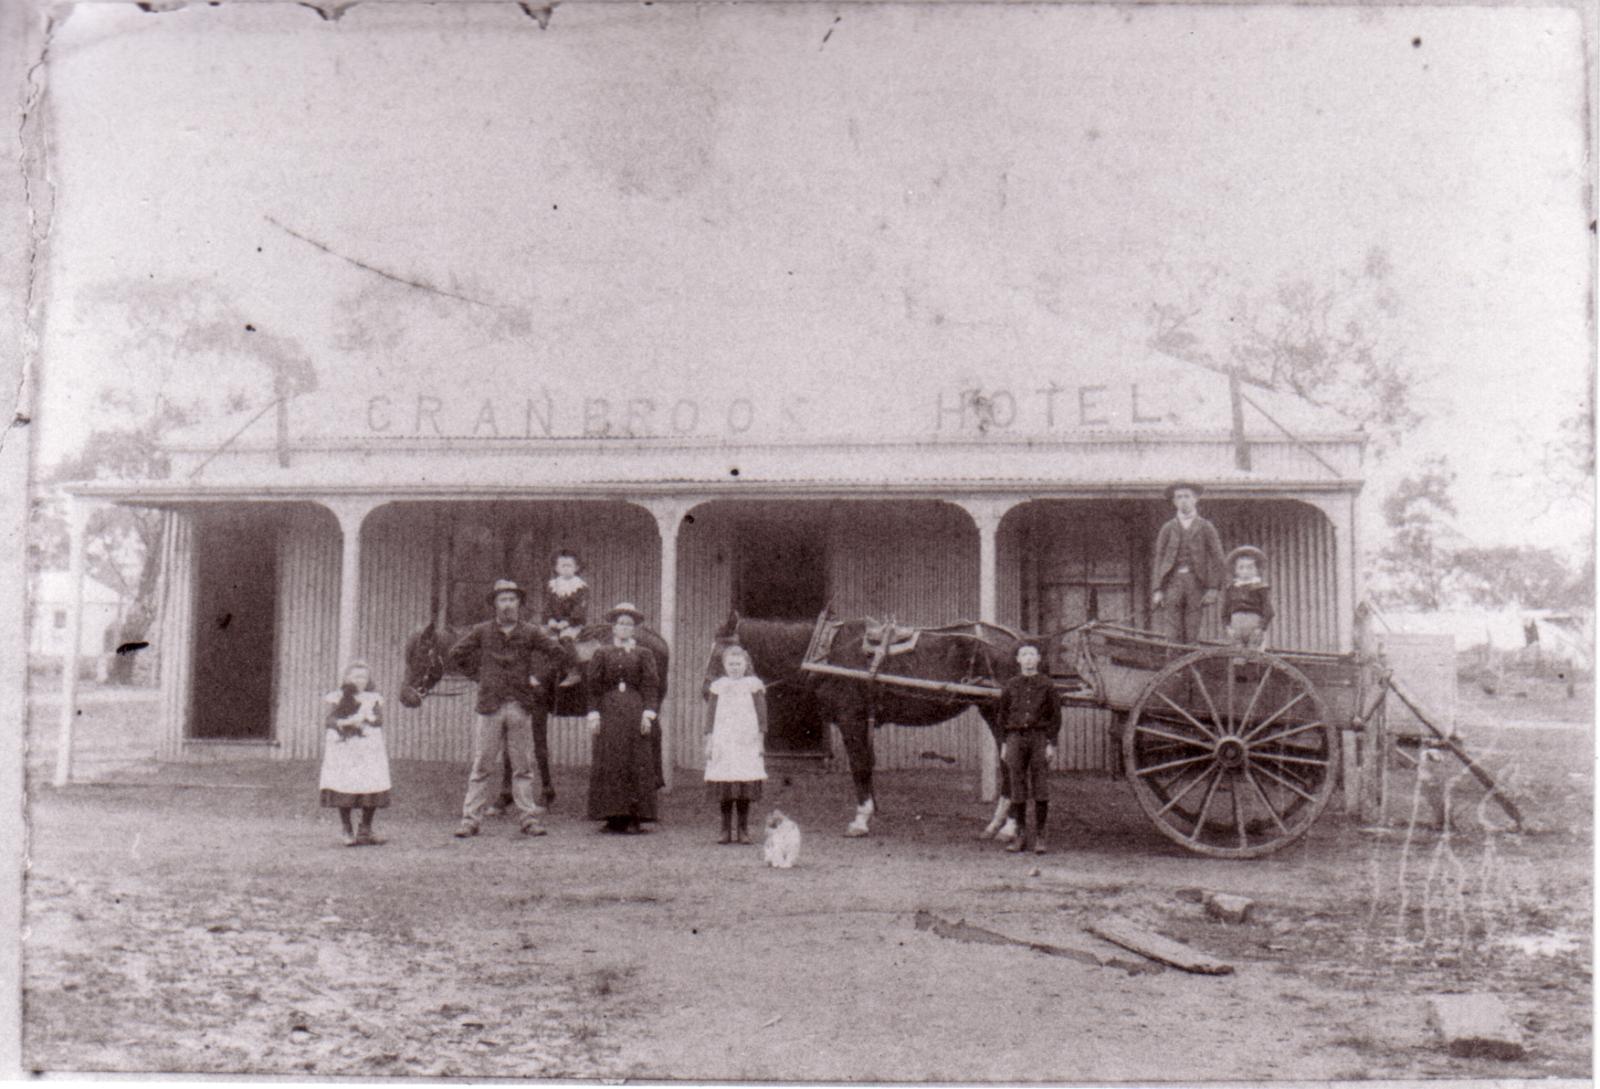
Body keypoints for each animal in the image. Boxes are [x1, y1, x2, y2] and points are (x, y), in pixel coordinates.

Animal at [707, 610, 1030, 837]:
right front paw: (871, 811)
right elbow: (867, 764)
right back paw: (998, 824)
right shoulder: (861, 720)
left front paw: (861, 819)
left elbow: (859, 765)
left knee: (1010, 764)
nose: (706, 690)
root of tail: (1018, 642)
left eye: (722, 652)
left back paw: (1007, 827)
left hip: (997, 714)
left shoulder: (851, 718)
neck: (826, 649)